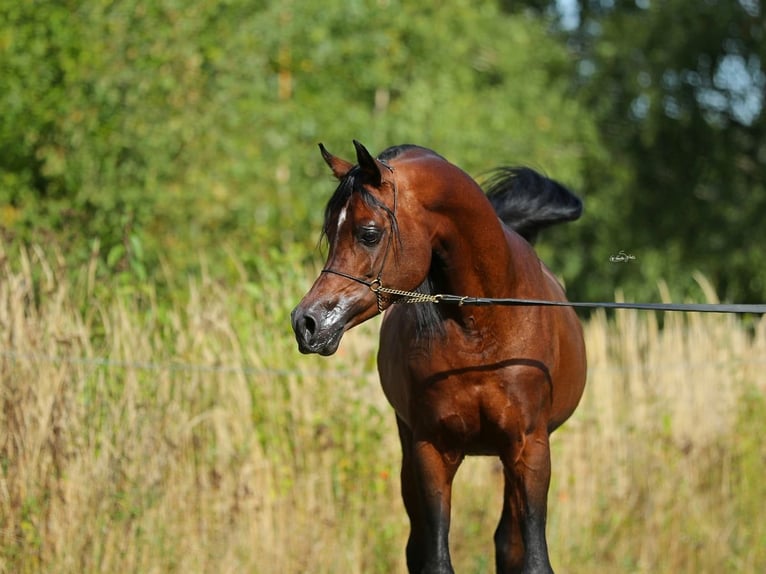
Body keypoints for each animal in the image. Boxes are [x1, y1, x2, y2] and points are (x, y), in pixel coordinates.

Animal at [290, 141, 588, 574]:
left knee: (508, 542)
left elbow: (532, 558)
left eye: (368, 233)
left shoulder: (530, 448)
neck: (482, 329)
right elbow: (435, 557)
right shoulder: (431, 451)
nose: (307, 322)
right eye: (330, 232)